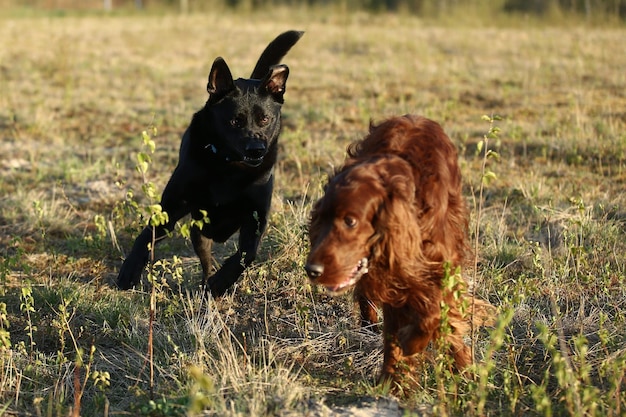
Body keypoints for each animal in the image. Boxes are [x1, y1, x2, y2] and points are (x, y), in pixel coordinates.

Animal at [118, 30, 304, 296]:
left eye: (265, 119)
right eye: (235, 121)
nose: (256, 150)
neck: (229, 167)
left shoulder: (256, 216)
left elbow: (247, 254)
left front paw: (222, 281)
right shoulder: (173, 206)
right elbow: (146, 235)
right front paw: (130, 270)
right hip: (200, 229)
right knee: (205, 257)